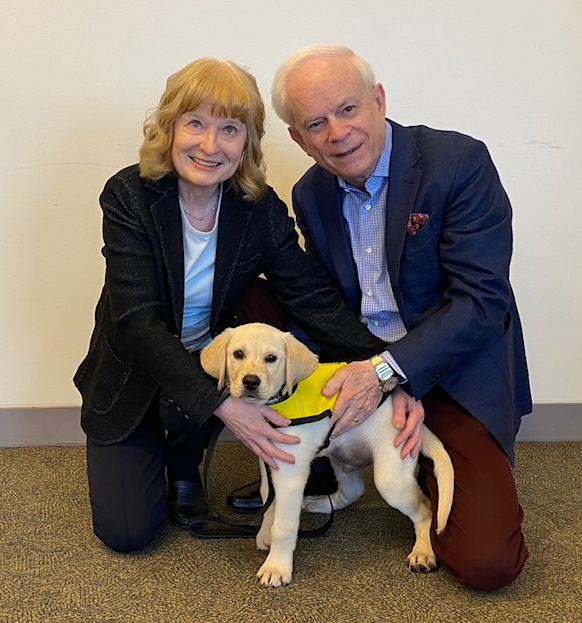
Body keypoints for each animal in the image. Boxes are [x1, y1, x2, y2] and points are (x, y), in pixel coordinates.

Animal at [202, 324, 456, 588]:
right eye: (237, 354)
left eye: (271, 358)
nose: (250, 382)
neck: (276, 404)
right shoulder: (267, 460)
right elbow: (267, 499)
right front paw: (264, 534)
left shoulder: (290, 474)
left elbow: (283, 526)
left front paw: (276, 566)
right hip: (341, 456)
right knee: (353, 491)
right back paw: (321, 503)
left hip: (391, 477)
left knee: (425, 509)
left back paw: (423, 551)